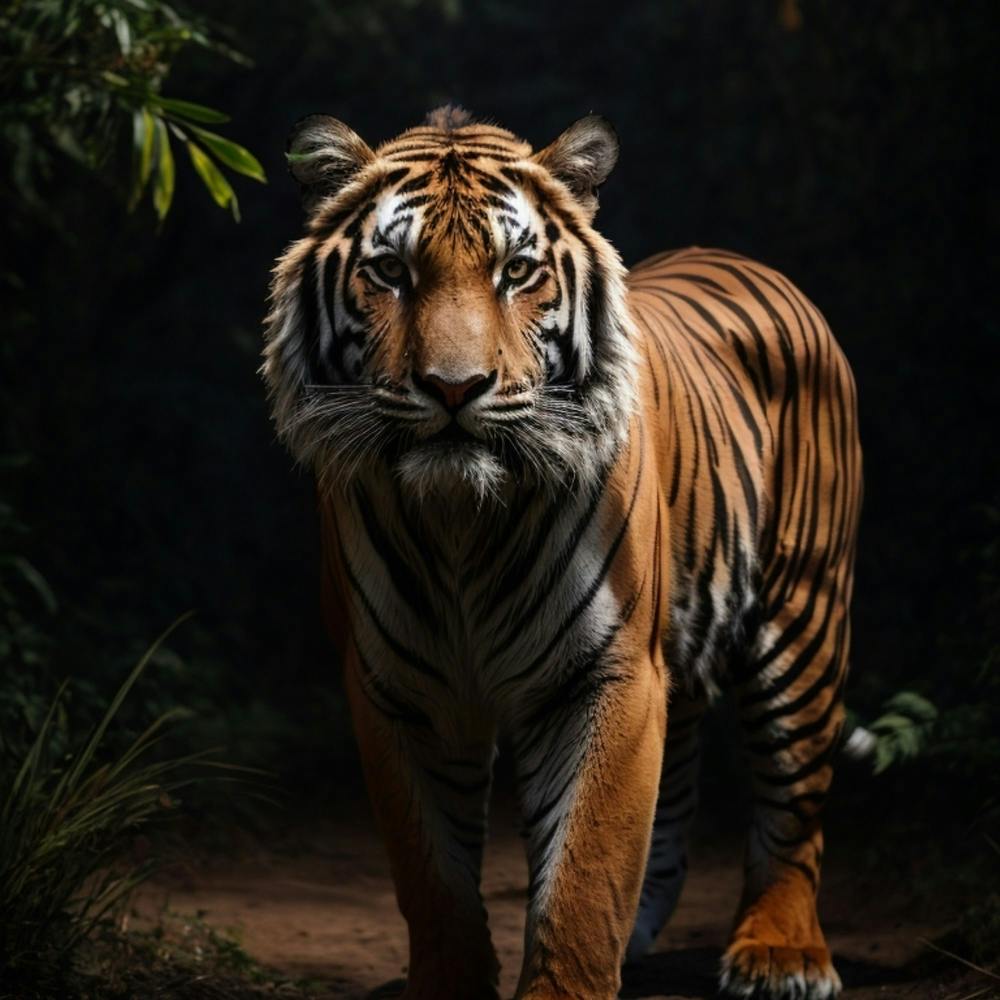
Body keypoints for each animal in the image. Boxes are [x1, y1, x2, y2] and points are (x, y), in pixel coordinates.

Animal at [262, 105, 862, 1000]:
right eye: (391, 271)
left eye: (516, 271)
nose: (454, 387)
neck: (460, 525)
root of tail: (750, 261)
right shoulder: (395, 685)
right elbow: (432, 876)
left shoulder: (607, 671)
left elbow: (585, 872)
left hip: (803, 616)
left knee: (796, 801)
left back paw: (780, 954)